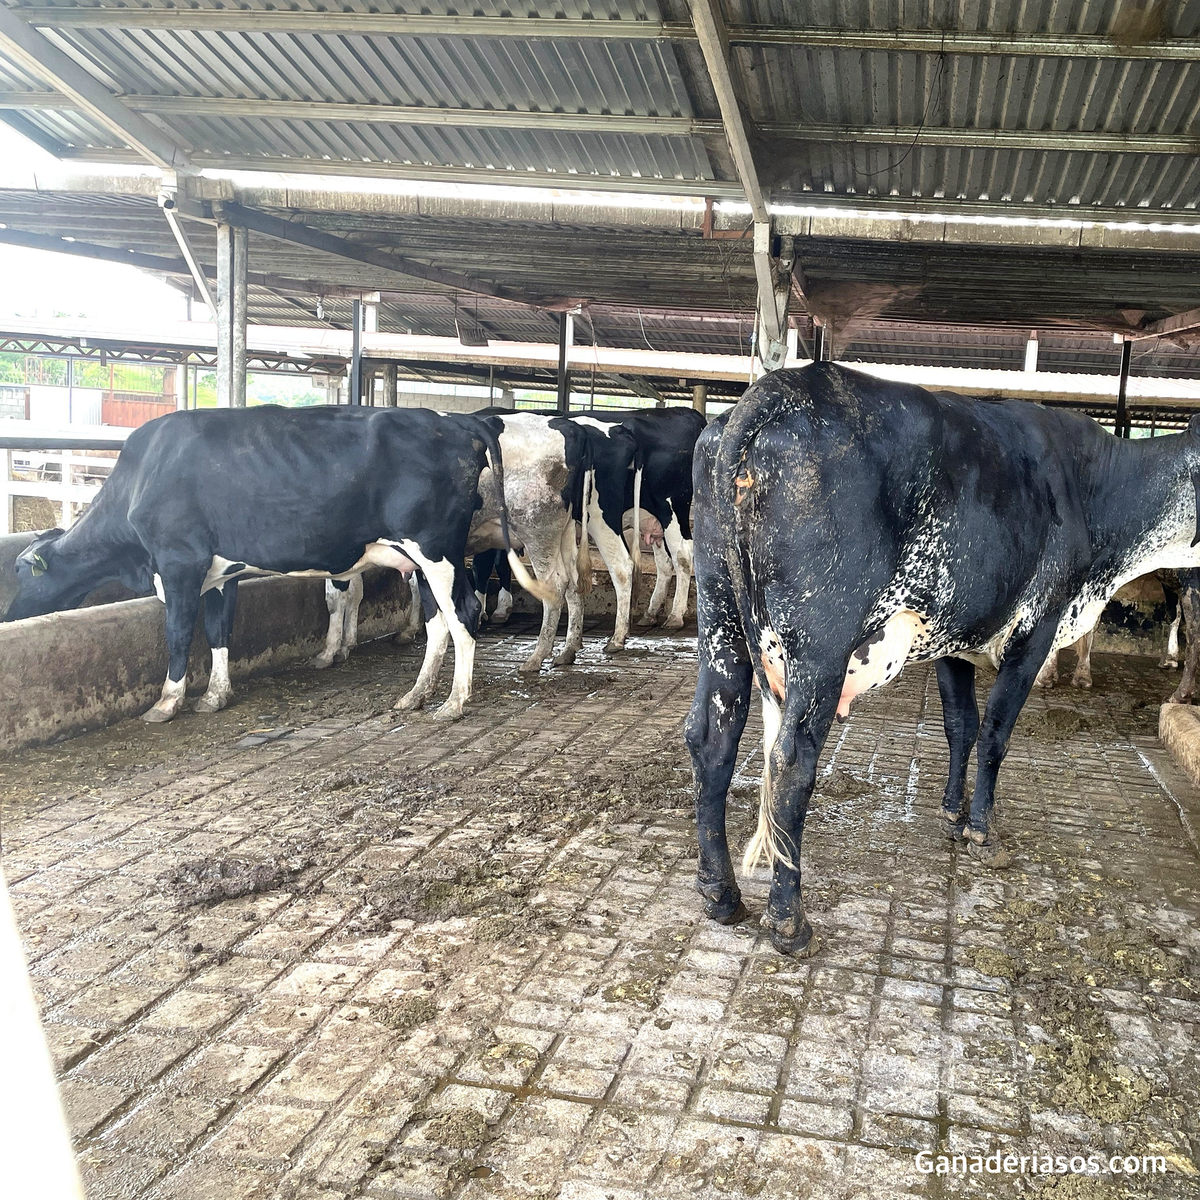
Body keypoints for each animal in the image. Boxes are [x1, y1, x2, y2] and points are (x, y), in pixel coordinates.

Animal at [6, 405, 549, 722]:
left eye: (20, 575)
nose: (8, 616)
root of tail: (456, 420)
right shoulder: (220, 573)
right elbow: (219, 630)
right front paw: (216, 695)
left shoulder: (179, 563)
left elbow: (178, 633)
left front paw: (167, 701)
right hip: (423, 557)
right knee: (439, 620)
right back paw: (415, 695)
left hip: (436, 549)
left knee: (464, 614)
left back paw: (454, 703)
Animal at [685, 363, 1200, 957]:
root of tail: (776, 390)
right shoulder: (1036, 629)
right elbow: (996, 734)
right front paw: (982, 832)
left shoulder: (955, 639)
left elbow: (961, 725)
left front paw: (952, 815)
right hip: (820, 643)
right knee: (791, 762)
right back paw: (790, 924)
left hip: (718, 615)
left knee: (712, 737)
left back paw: (720, 894)